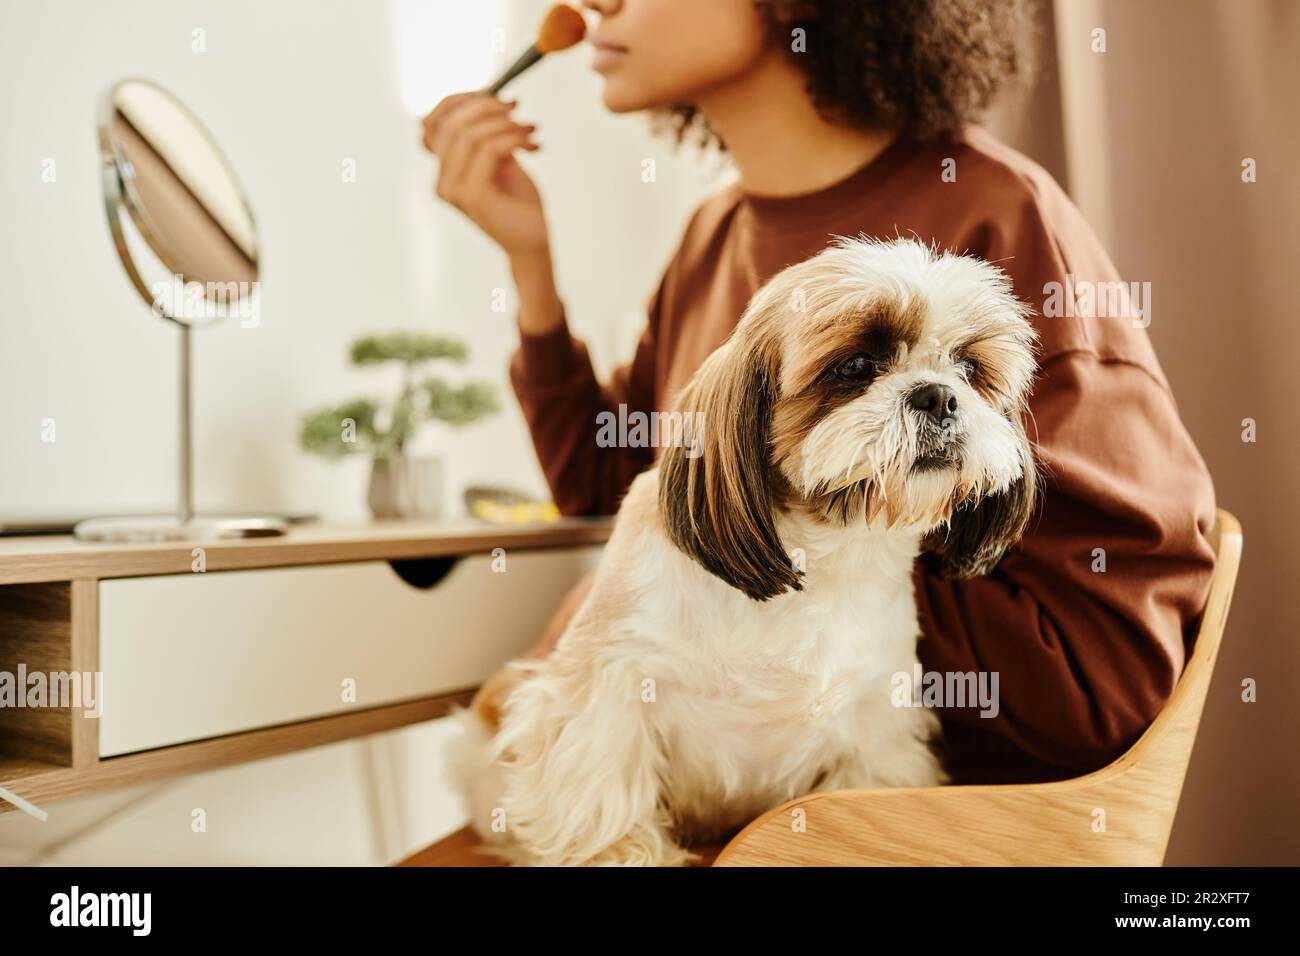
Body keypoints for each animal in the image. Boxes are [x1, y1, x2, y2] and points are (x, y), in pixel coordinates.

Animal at [447, 238, 1034, 868]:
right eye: (855, 367)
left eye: (969, 370)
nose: (940, 395)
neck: (818, 557)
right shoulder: (607, 681)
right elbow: (602, 778)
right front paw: (620, 852)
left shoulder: (877, 725)